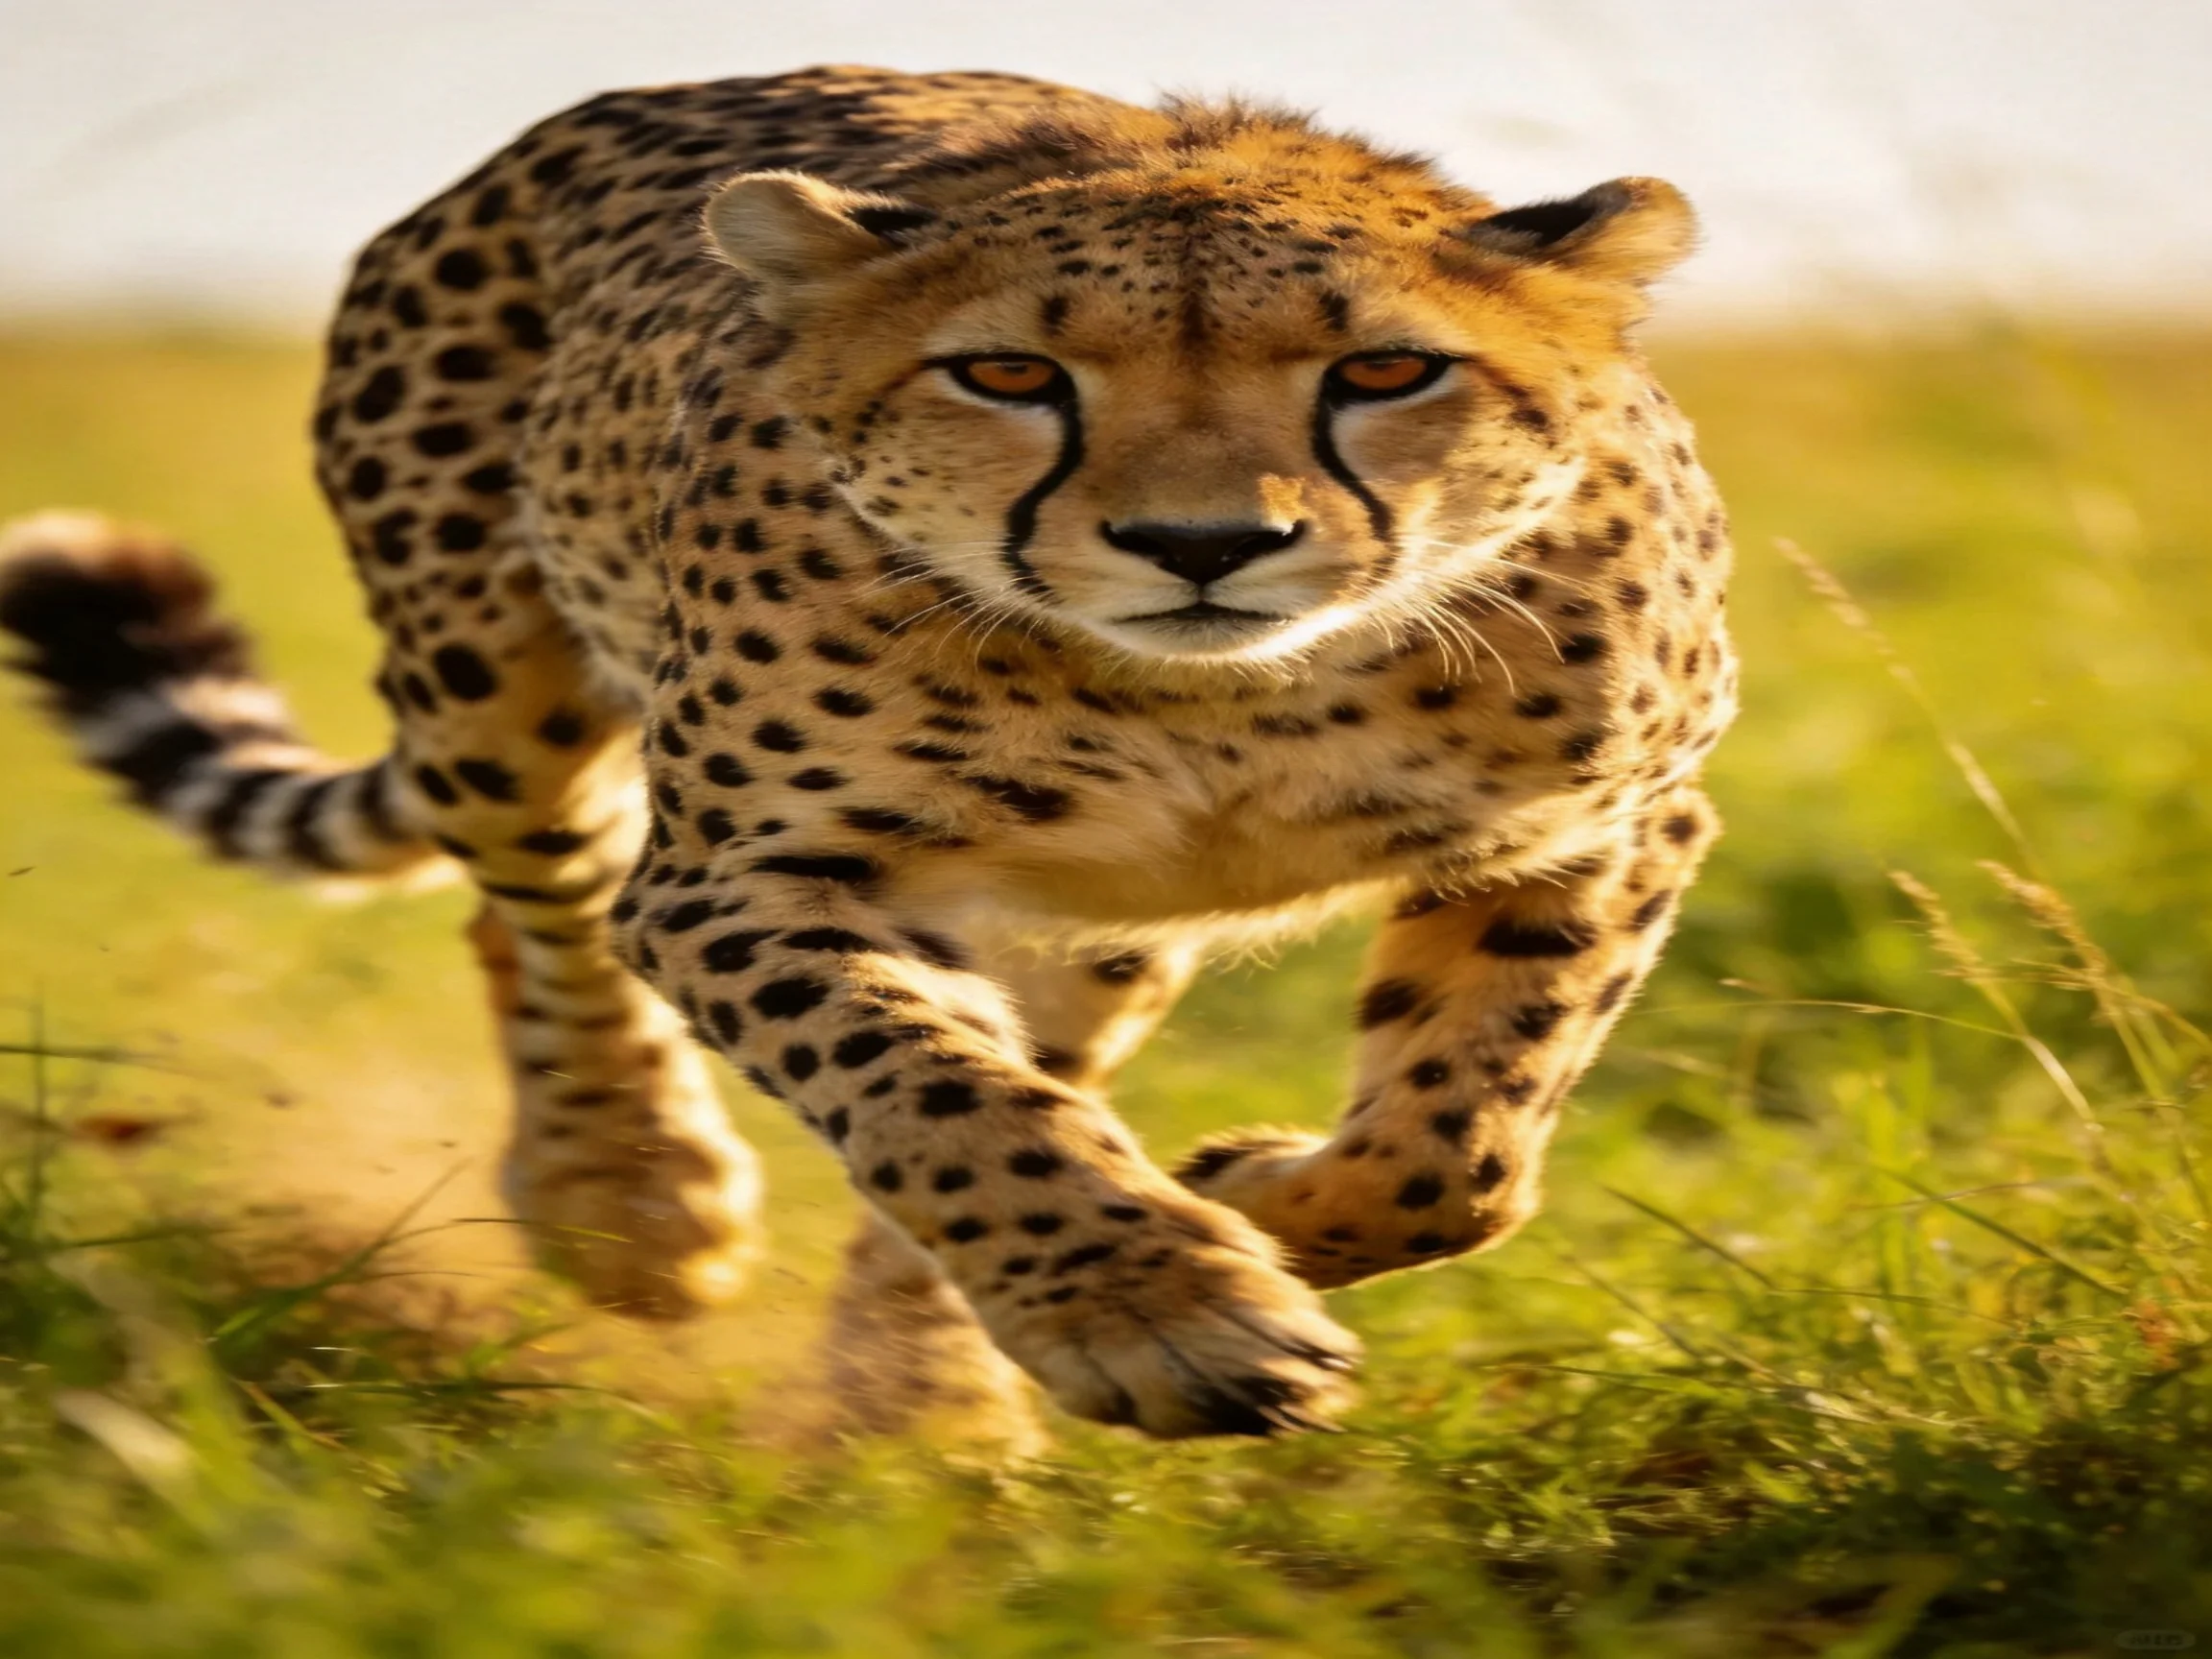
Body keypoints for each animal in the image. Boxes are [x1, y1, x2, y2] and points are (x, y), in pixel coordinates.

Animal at [0, 65, 1736, 1439]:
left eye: (1382, 370)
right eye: (1009, 373)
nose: (1200, 544)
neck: (1222, 702)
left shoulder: (1608, 821)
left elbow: (1462, 1138)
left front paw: (1250, 1208)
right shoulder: (752, 876)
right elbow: (932, 1093)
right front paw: (1160, 1308)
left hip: (1089, 932)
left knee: (1028, 1059)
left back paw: (924, 1402)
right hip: (489, 687)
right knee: (539, 910)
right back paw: (629, 1200)